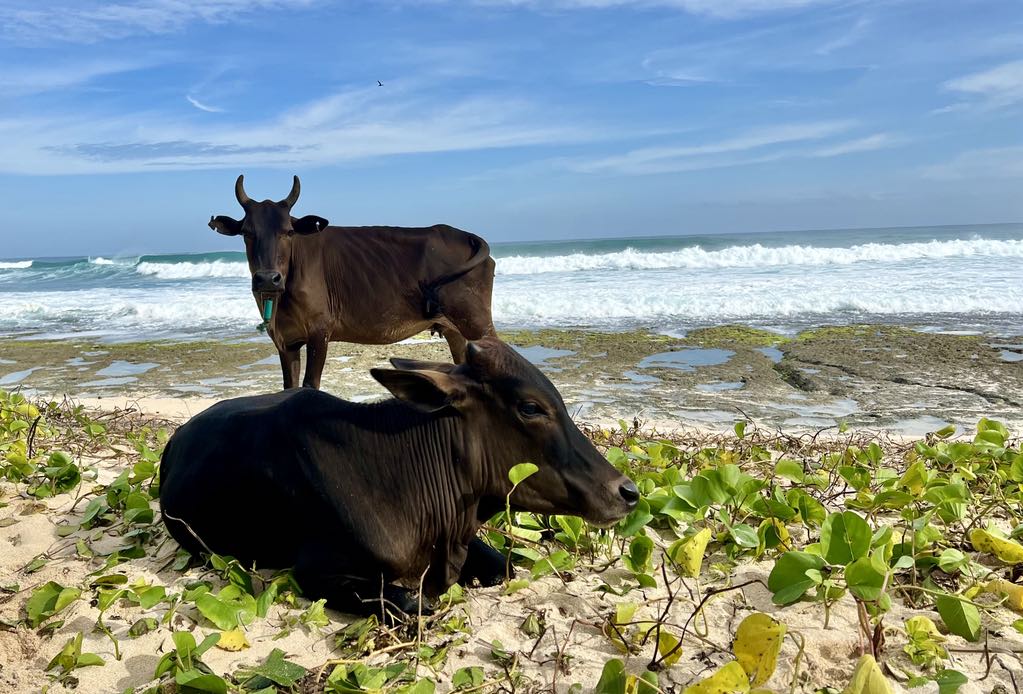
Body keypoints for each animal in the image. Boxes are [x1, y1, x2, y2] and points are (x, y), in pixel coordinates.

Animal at [207, 175, 495, 391]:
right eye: (247, 232)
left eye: (288, 231)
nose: (268, 278)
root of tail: (464, 235)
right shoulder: (285, 341)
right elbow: (289, 387)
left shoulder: (319, 332)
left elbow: (309, 385)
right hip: (454, 330)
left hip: (477, 323)